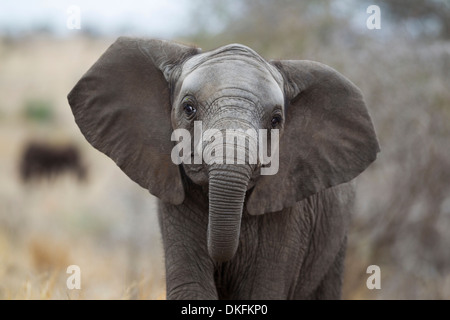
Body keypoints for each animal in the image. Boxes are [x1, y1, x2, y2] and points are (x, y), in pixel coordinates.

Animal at [67, 38, 380, 300]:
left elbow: (261, 294)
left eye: (276, 120)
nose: (222, 262)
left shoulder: (293, 214)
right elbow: (191, 289)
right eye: (189, 108)